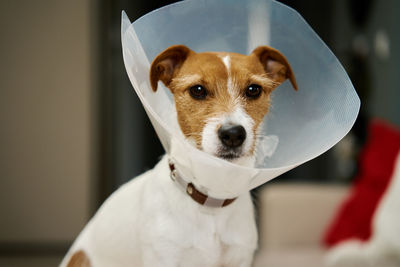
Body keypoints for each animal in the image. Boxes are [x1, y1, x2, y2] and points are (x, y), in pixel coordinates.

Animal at [59, 45, 296, 266]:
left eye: (254, 89)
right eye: (197, 90)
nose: (233, 134)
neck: (211, 200)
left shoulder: (239, 258)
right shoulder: (163, 257)